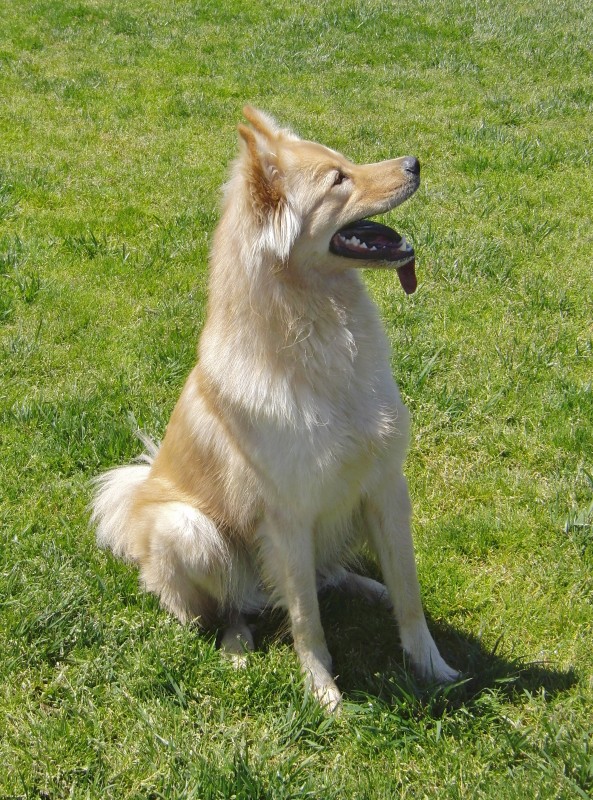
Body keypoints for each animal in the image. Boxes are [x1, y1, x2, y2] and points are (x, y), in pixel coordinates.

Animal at [92, 104, 460, 708]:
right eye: (338, 180)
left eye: (347, 161)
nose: (414, 162)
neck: (321, 334)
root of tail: (136, 506)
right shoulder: (286, 519)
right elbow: (307, 620)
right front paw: (325, 695)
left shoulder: (385, 485)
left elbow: (409, 595)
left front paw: (434, 669)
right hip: (190, 531)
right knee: (229, 609)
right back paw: (238, 647)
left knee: (325, 578)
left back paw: (364, 585)